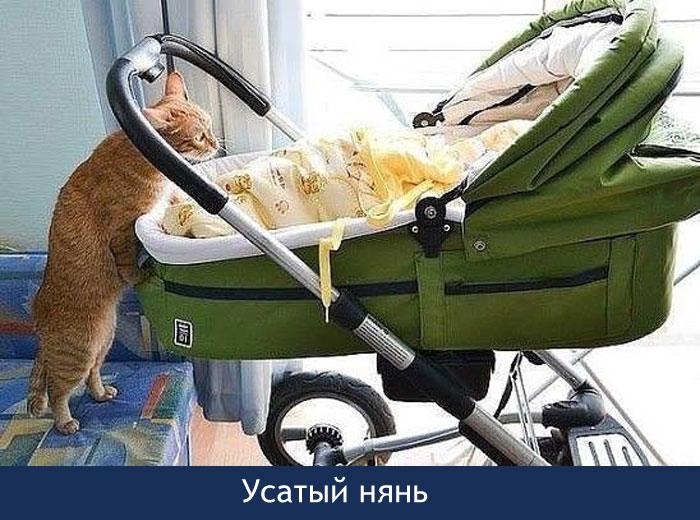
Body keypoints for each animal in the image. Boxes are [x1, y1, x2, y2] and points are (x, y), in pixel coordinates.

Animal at [27, 72, 219, 434]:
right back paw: (65, 422)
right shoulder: (122, 229)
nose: (216, 144)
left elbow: (176, 201)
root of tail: (39, 323)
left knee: (92, 376)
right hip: (80, 352)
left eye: (211, 128)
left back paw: (102, 394)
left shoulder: (164, 200)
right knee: (58, 390)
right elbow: (129, 262)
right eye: (199, 137)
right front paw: (140, 273)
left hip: (104, 343)